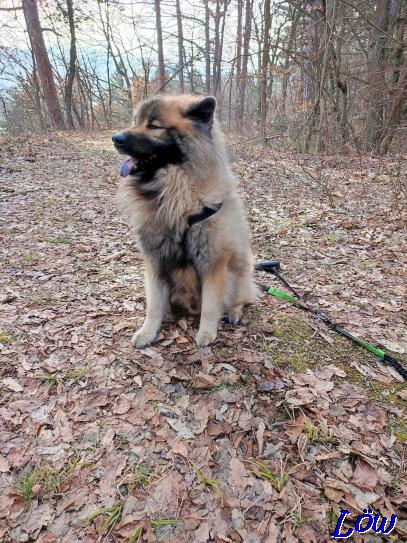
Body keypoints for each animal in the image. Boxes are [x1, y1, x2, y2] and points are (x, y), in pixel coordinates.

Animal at [113, 93, 256, 348]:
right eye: (135, 121)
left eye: (154, 126)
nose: (115, 138)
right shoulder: (155, 260)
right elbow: (153, 305)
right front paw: (148, 332)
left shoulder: (214, 263)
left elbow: (210, 305)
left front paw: (207, 333)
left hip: (239, 273)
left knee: (241, 298)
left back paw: (234, 312)